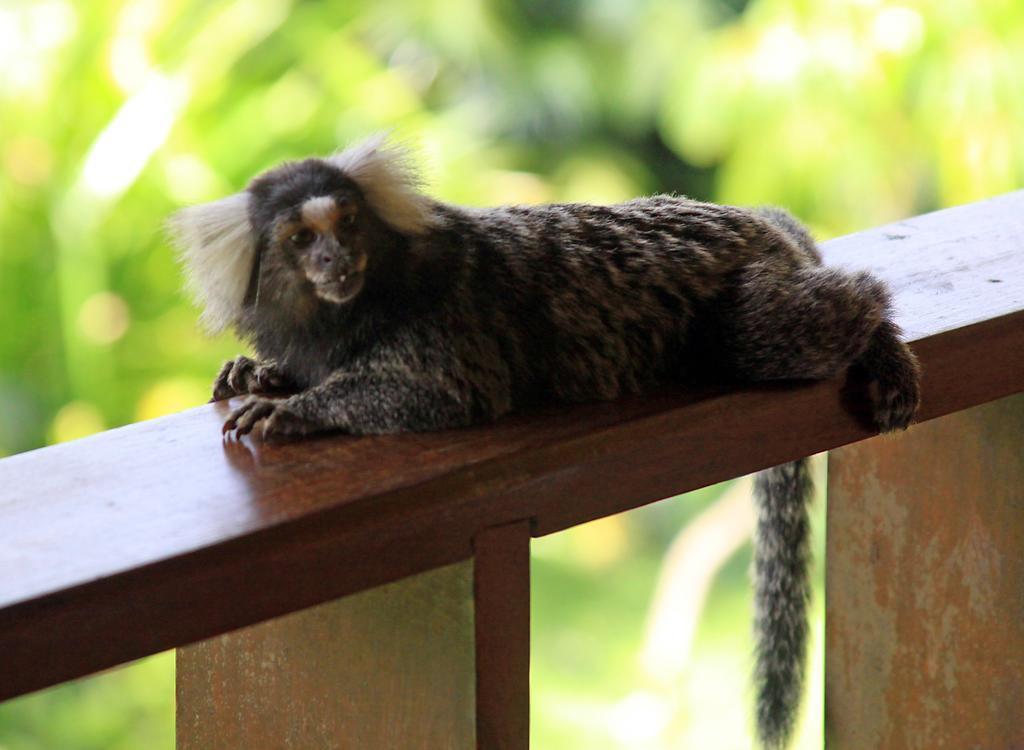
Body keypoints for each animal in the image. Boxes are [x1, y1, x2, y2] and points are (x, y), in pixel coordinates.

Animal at [167, 136, 921, 750]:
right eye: (300, 238)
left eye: (348, 223)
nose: (335, 257)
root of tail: (753, 218)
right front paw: (260, 373)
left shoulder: (442, 327)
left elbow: (441, 390)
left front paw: (292, 409)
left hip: (749, 299)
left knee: (794, 320)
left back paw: (881, 341)